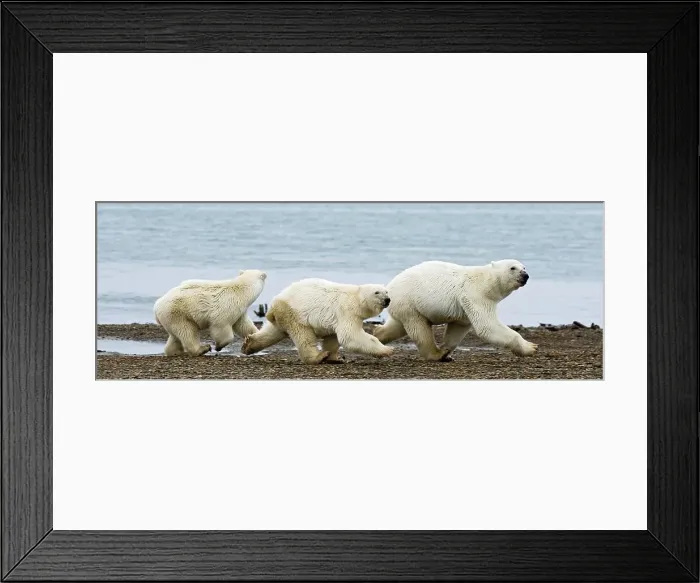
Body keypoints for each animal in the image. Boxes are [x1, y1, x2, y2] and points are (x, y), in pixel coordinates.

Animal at [241, 278, 393, 364]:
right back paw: (317, 357)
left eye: (386, 291)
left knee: (272, 331)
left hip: (282, 315)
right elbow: (350, 336)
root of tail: (273, 306)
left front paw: (335, 358)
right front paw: (387, 350)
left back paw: (249, 344)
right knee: (304, 337)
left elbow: (333, 338)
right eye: (377, 292)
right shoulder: (346, 311)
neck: (356, 299)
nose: (387, 300)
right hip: (294, 314)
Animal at [373, 259, 537, 361]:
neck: (487, 282)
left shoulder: (465, 307)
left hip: (406, 306)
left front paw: (448, 350)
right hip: (409, 301)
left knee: (398, 325)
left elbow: (458, 328)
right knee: (420, 329)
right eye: (513, 268)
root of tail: (390, 287)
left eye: (524, 267)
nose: (526, 276)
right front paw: (531, 347)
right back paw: (436, 354)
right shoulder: (476, 294)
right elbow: (487, 326)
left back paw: (378, 334)